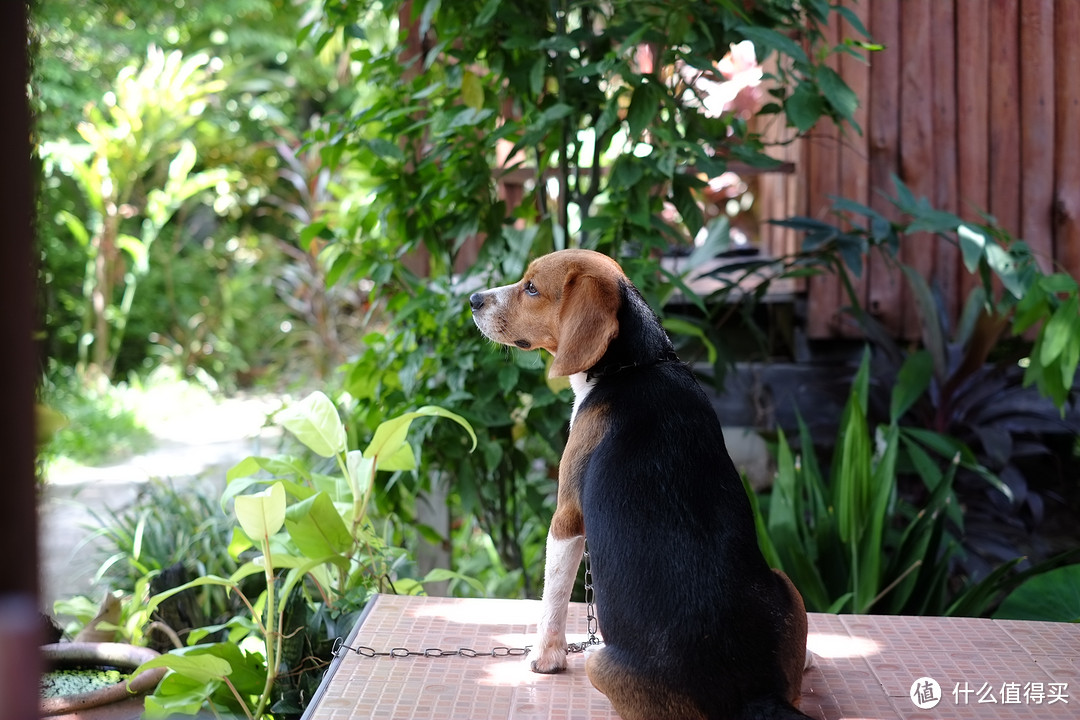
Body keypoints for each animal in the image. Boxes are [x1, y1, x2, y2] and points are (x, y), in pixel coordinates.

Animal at [466, 249, 812, 720]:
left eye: (532, 288)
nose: (473, 300)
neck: (635, 365)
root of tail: (755, 694)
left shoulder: (567, 518)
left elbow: (552, 599)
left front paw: (545, 657)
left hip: (599, 662)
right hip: (786, 583)